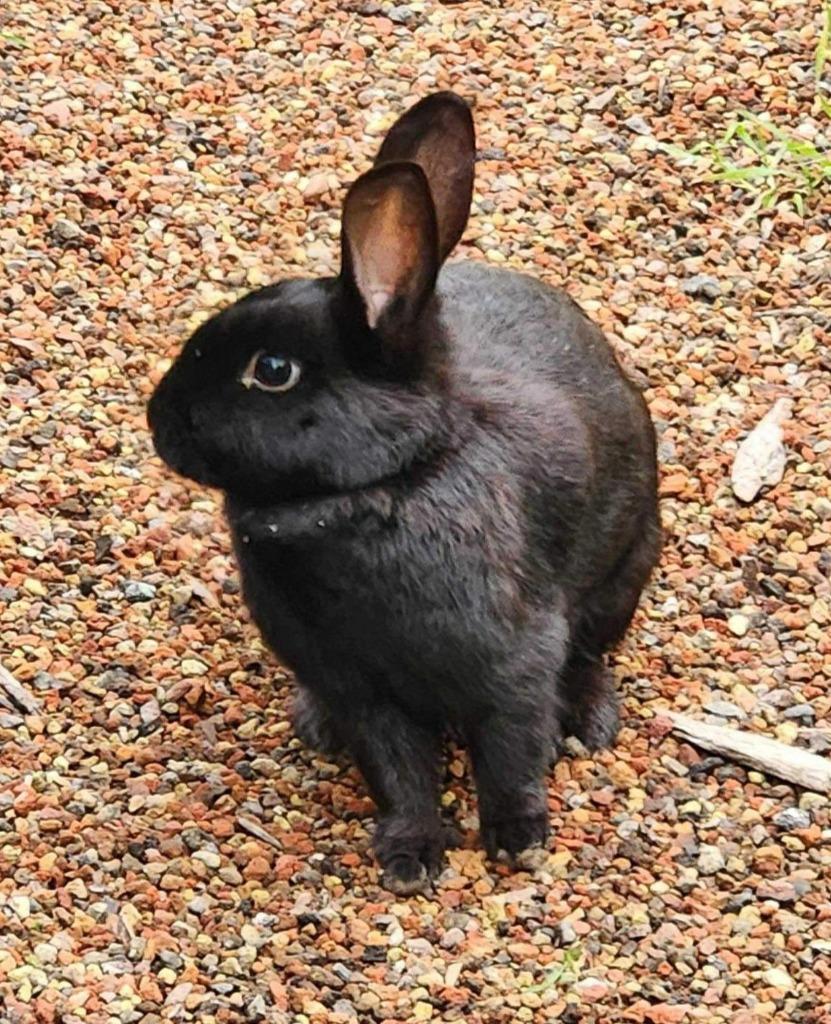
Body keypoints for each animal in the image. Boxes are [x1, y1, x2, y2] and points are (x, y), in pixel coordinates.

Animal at [148, 91, 661, 894]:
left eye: (272, 370)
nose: (158, 420)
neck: (395, 478)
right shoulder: (363, 690)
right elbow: (398, 773)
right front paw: (409, 859)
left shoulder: (513, 662)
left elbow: (509, 750)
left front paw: (517, 840)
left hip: (622, 575)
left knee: (589, 657)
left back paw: (584, 724)